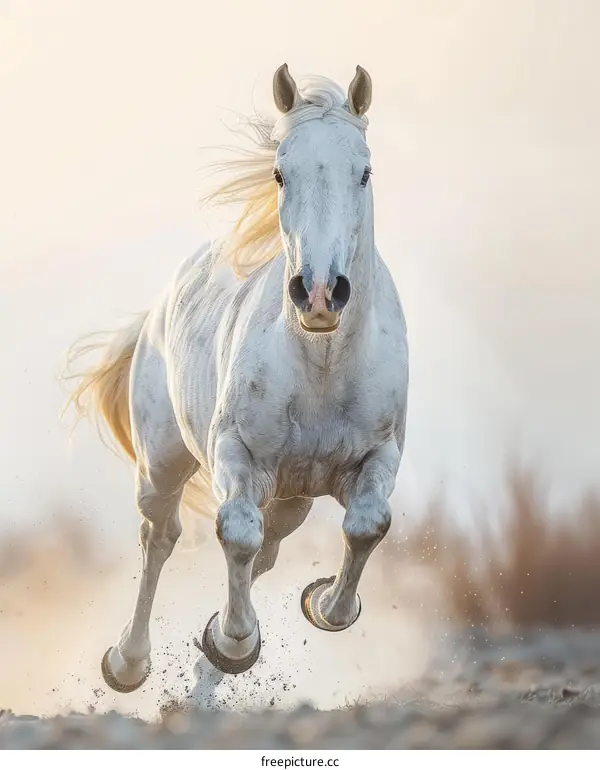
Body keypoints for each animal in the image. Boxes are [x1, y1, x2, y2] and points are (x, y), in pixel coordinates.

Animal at [63, 63, 409, 693]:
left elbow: (367, 525)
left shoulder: (379, 455)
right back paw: (128, 662)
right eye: (280, 172)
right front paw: (231, 641)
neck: (320, 364)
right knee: (160, 539)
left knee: (268, 548)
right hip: (162, 464)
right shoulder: (236, 452)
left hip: (294, 495)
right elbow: (236, 532)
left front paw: (322, 605)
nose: (319, 293)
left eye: (365, 172)